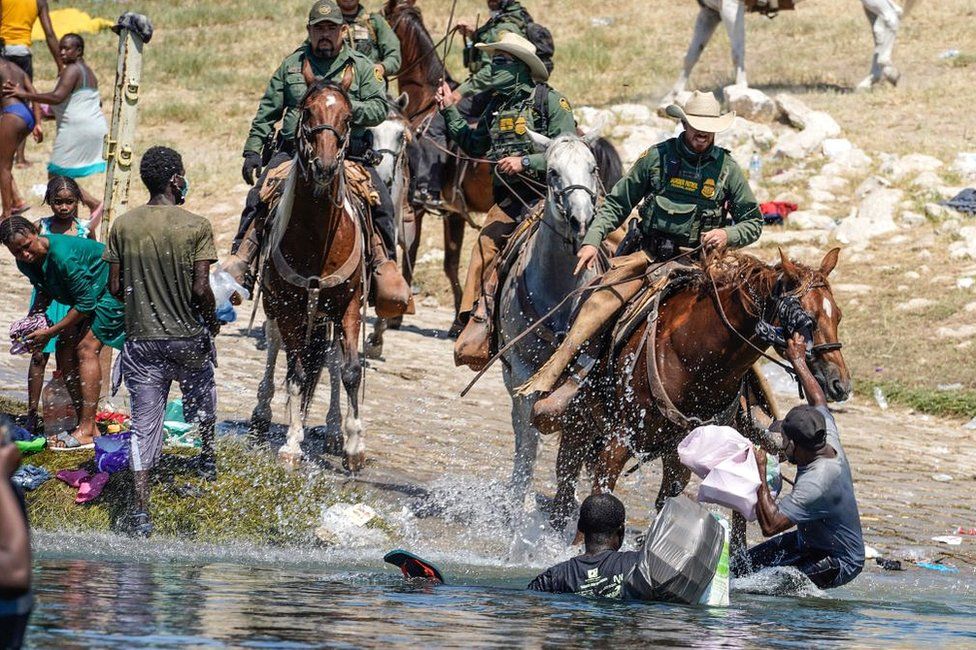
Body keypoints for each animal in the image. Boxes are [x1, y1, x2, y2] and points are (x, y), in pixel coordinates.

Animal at [254, 64, 368, 470]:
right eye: (307, 113)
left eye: (348, 117)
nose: (325, 166)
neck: (319, 241)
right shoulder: (289, 308)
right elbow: (298, 372)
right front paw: (292, 443)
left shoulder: (349, 305)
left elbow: (349, 371)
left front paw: (354, 445)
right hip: (277, 307)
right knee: (275, 347)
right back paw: (262, 415)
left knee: (331, 360)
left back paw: (334, 430)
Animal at [500, 129, 608, 508]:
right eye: (552, 172)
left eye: (593, 168)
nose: (581, 221)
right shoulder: (523, 370)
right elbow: (528, 437)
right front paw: (518, 501)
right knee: (520, 428)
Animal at [552, 247, 852, 528]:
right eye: (808, 319)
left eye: (838, 316)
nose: (841, 384)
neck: (695, 357)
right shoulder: (619, 441)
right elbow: (599, 498)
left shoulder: (677, 454)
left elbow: (666, 504)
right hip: (578, 422)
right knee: (564, 487)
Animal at [664, 0, 916, 102]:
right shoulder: (710, 11)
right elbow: (691, 55)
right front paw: (673, 95)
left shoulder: (731, 7)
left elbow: (737, 52)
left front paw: (741, 90)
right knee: (878, 28)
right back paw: (870, 81)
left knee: (891, 17)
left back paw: (888, 69)